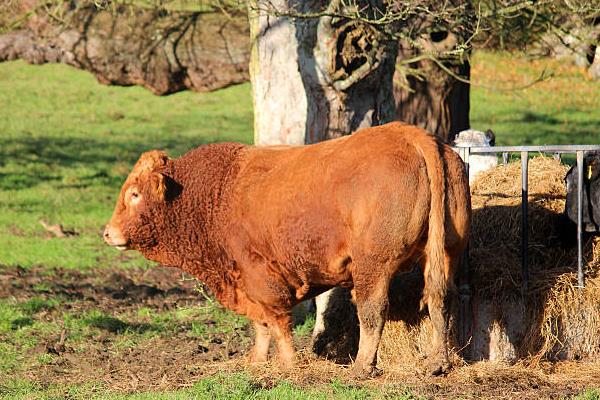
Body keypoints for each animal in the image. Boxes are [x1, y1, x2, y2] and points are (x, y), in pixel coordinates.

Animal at [103, 122, 468, 378]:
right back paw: (439, 362)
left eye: (134, 194)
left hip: (373, 266)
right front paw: (255, 361)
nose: (108, 233)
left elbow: (277, 322)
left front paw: (289, 364)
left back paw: (362, 367)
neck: (216, 194)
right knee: (441, 299)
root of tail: (410, 134)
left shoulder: (259, 277)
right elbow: (261, 324)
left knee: (372, 310)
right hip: (446, 252)